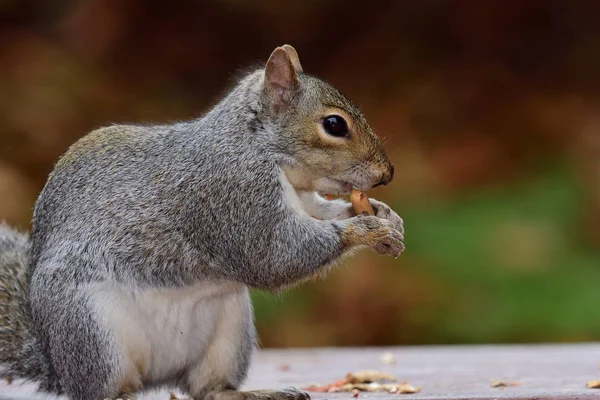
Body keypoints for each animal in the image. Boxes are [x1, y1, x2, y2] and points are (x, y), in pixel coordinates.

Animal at [0, 45, 406, 400]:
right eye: (334, 124)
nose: (387, 173)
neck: (256, 146)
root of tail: (55, 363)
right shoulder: (231, 196)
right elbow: (274, 256)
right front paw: (365, 229)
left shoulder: (303, 202)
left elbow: (321, 216)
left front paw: (384, 216)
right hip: (92, 331)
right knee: (100, 390)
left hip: (228, 334)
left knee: (207, 389)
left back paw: (255, 393)